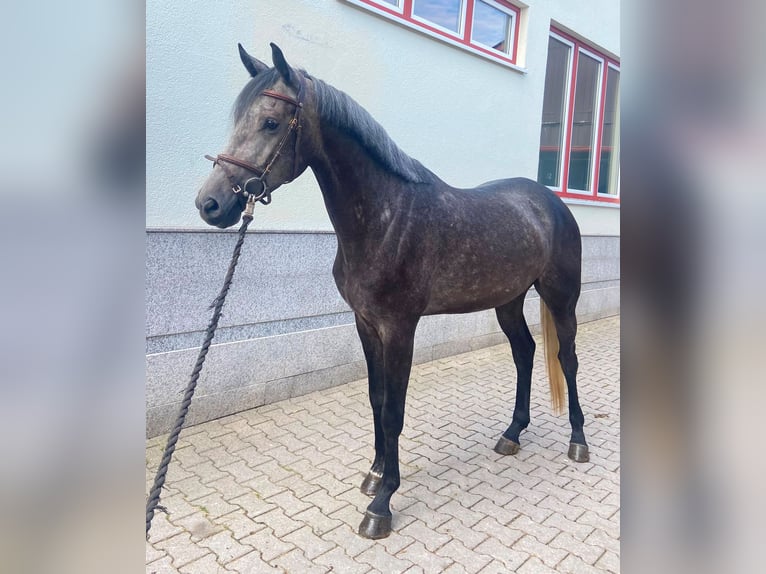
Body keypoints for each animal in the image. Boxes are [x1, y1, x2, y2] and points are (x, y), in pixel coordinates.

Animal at [195, 43, 589, 539]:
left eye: (270, 122)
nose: (210, 204)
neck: (386, 218)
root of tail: (551, 202)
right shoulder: (366, 324)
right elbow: (376, 397)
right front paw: (376, 472)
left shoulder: (400, 328)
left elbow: (394, 411)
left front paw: (381, 503)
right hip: (508, 301)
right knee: (525, 352)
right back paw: (511, 434)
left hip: (561, 296)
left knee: (567, 359)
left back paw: (578, 440)